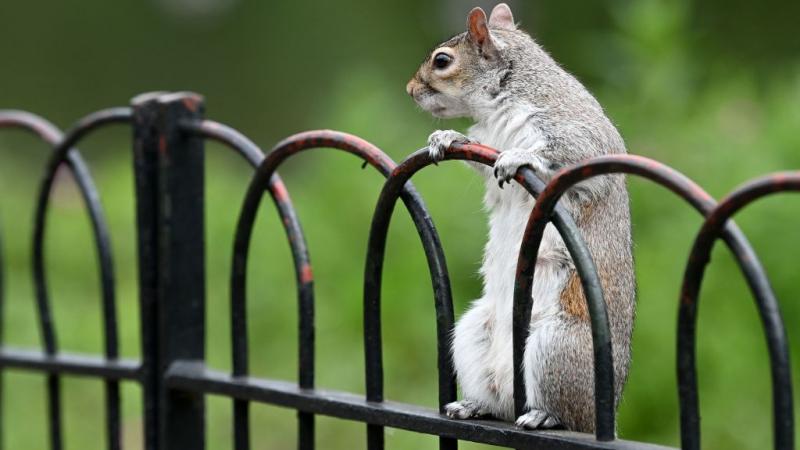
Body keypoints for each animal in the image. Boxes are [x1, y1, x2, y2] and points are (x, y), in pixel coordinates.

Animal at [410, 2, 636, 432]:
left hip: (556, 345)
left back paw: (545, 415)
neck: (504, 96)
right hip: (471, 333)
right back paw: (474, 405)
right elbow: (480, 160)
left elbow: (570, 151)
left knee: (563, 410)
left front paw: (519, 157)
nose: (410, 90)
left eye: (442, 61)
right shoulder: (489, 141)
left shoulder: (574, 127)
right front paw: (447, 137)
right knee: (496, 402)